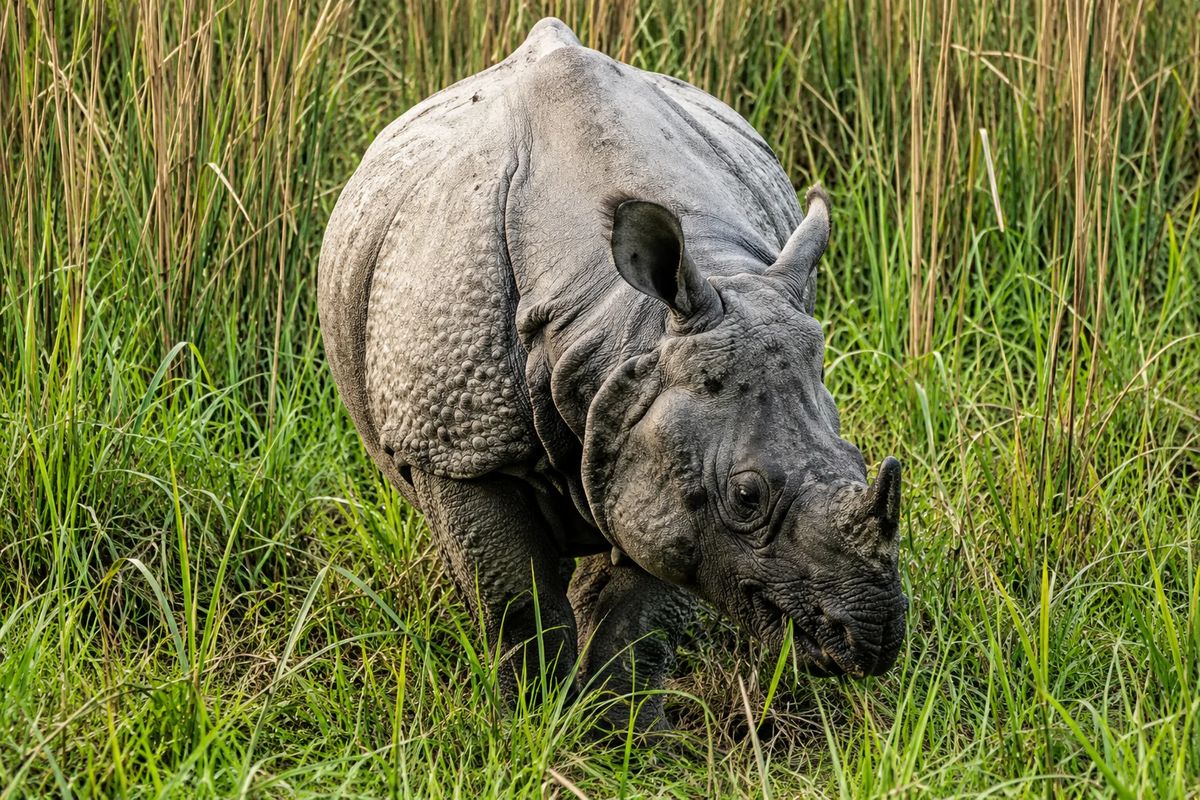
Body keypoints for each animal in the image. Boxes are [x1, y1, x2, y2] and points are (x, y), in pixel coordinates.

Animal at [318, 18, 906, 730]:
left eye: (858, 458)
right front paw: (530, 720)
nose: (872, 638)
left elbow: (642, 612)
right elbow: (515, 603)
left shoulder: (650, 425)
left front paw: (628, 733)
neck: (619, 325)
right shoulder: (461, 445)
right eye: (746, 496)